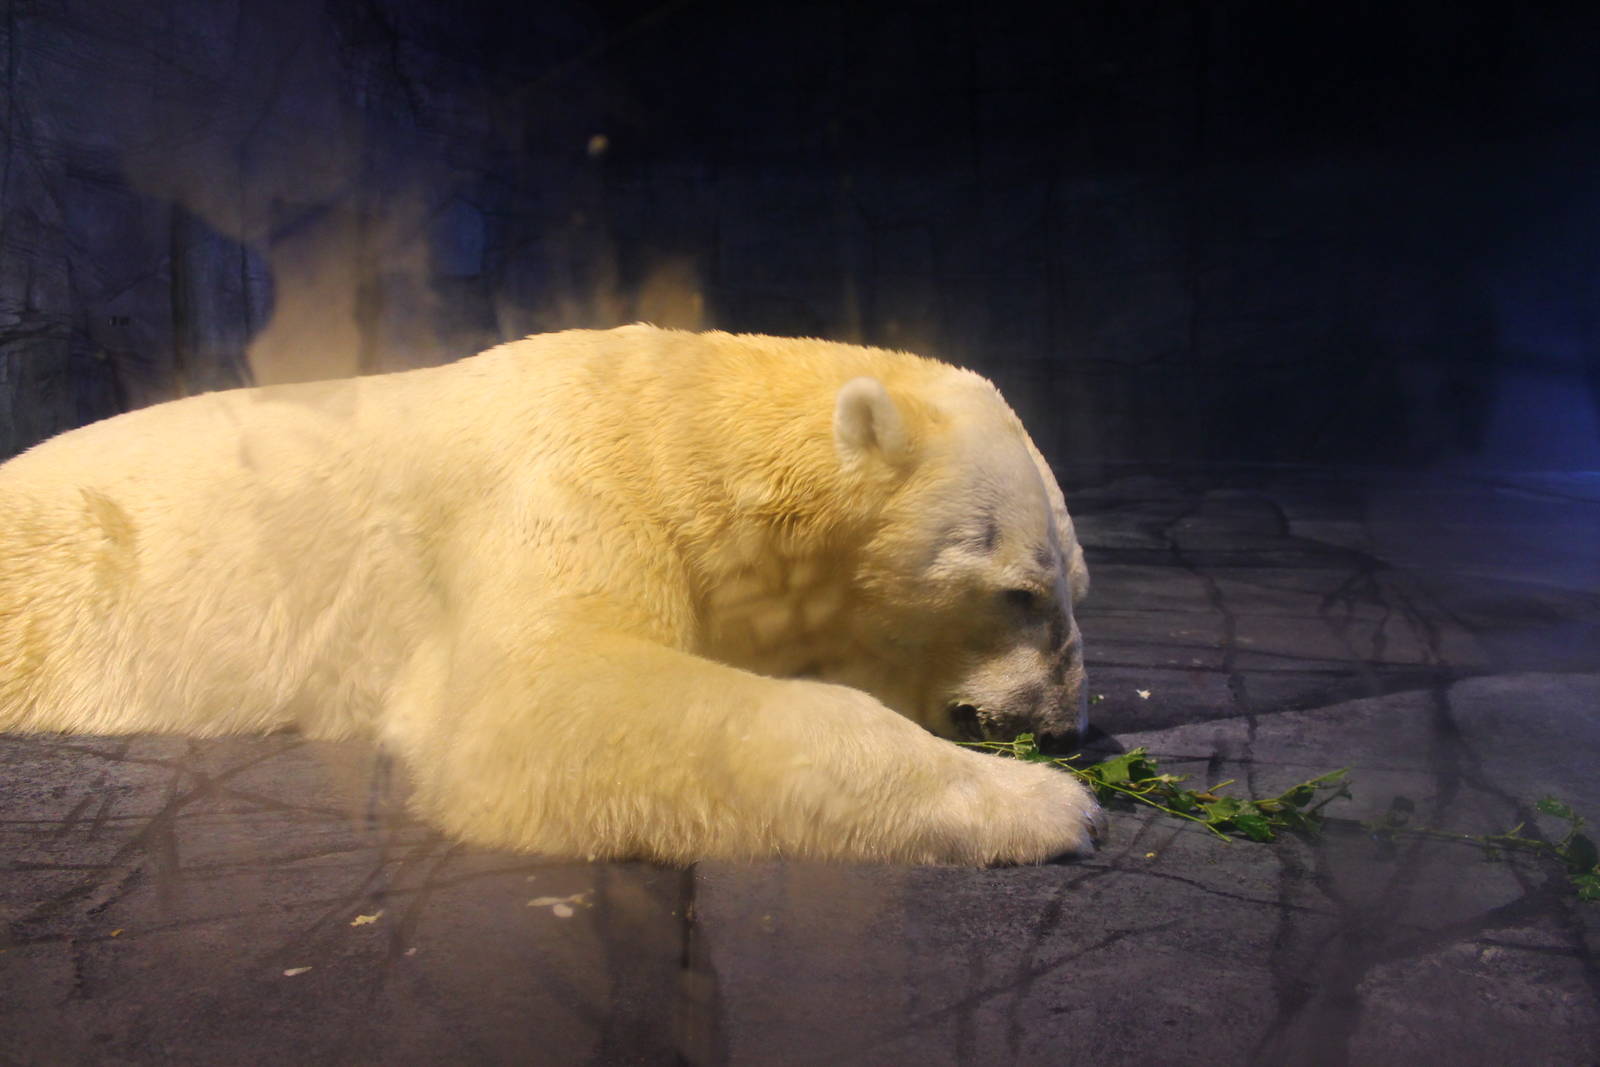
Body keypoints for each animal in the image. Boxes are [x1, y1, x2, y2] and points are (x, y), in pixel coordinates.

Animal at [0, 325, 1100, 865]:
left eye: (1079, 585)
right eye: (1017, 590)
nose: (1061, 722)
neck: (681, 419)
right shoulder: (564, 475)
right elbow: (539, 699)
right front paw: (1044, 805)